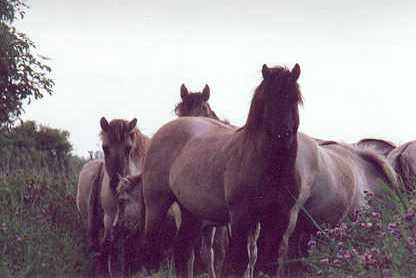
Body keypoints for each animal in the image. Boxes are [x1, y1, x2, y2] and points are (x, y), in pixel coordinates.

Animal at [141, 64, 304, 276]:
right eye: (267, 99)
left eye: (295, 98)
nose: (283, 136)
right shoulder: (240, 217)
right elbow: (238, 263)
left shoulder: (278, 218)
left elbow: (269, 262)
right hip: (156, 205)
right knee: (151, 252)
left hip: (191, 213)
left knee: (182, 250)